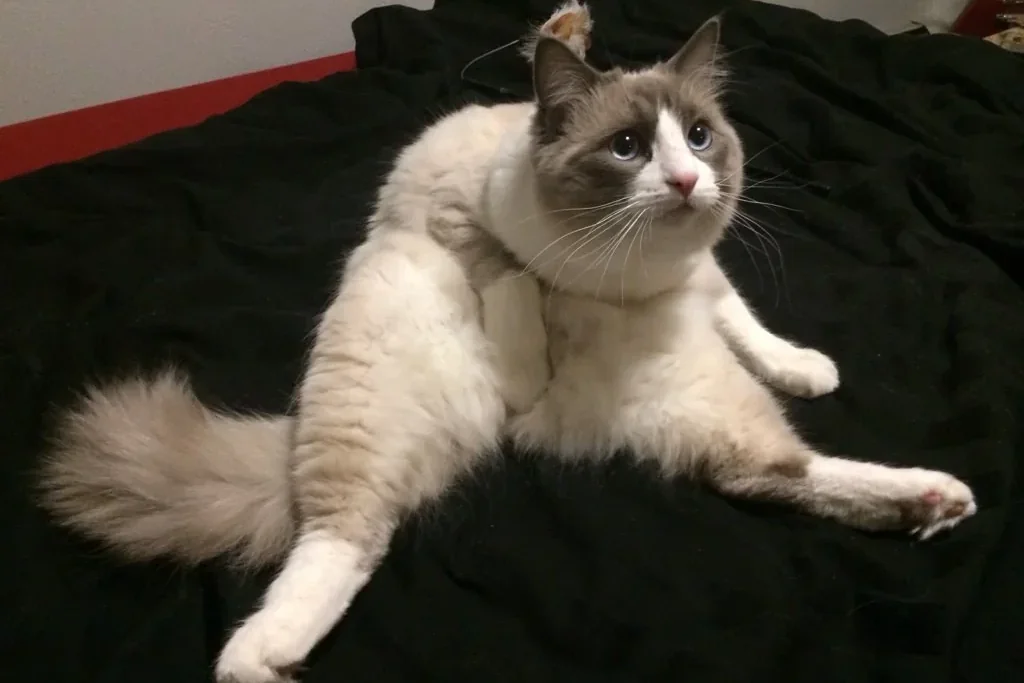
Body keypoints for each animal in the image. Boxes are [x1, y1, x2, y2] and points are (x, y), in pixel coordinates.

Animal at [37, 6, 974, 683]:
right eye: (627, 148)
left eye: (701, 138)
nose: (684, 181)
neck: (636, 278)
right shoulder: (468, 227)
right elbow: (512, 274)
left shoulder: (703, 274)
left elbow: (748, 322)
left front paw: (807, 368)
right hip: (390, 399)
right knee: (335, 543)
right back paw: (262, 659)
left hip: (703, 403)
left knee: (777, 470)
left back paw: (935, 499)